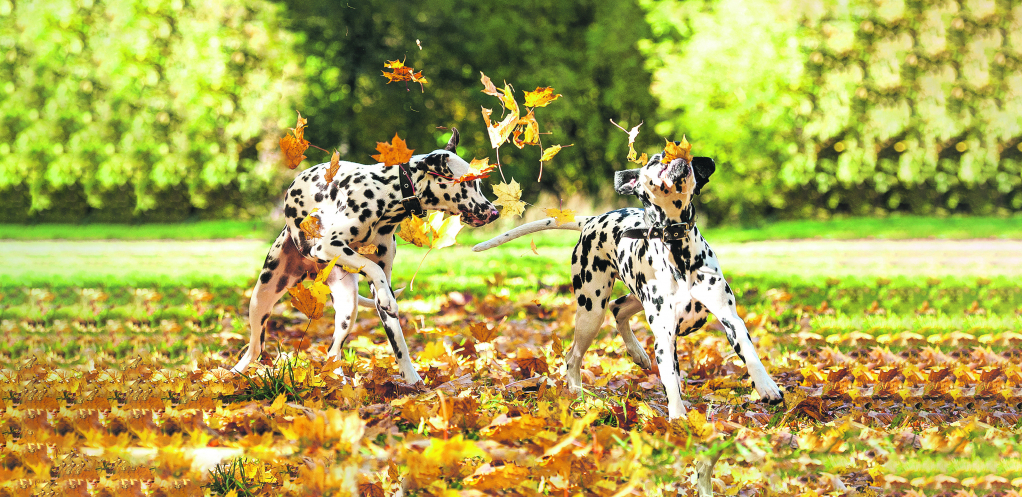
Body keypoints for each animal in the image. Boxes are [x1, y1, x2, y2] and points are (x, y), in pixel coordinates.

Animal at [233, 129, 502, 382]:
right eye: (469, 183)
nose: (495, 213)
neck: (388, 193)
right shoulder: (328, 246)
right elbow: (373, 269)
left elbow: (398, 339)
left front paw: (413, 381)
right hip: (262, 297)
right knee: (255, 348)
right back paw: (233, 374)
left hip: (347, 308)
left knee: (333, 352)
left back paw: (337, 380)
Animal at [476, 151, 780, 419]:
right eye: (654, 161)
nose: (672, 156)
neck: (677, 249)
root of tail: (591, 220)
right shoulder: (664, 336)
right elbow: (671, 381)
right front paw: (678, 419)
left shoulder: (730, 318)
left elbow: (749, 353)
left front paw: (767, 387)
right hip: (591, 310)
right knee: (574, 355)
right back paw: (578, 396)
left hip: (632, 296)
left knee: (618, 308)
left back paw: (637, 353)